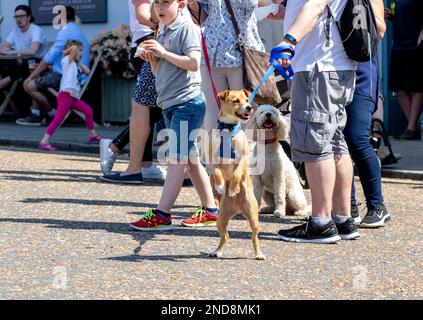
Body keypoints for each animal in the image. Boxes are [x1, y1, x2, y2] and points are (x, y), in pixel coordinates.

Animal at [209, 89, 264, 262]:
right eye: (235, 101)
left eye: (246, 100)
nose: (249, 107)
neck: (228, 129)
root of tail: (238, 208)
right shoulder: (213, 160)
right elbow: (217, 173)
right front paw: (221, 186)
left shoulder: (243, 158)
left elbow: (237, 174)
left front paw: (233, 189)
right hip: (221, 219)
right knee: (225, 236)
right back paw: (217, 251)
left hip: (253, 217)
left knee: (254, 237)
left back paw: (259, 254)